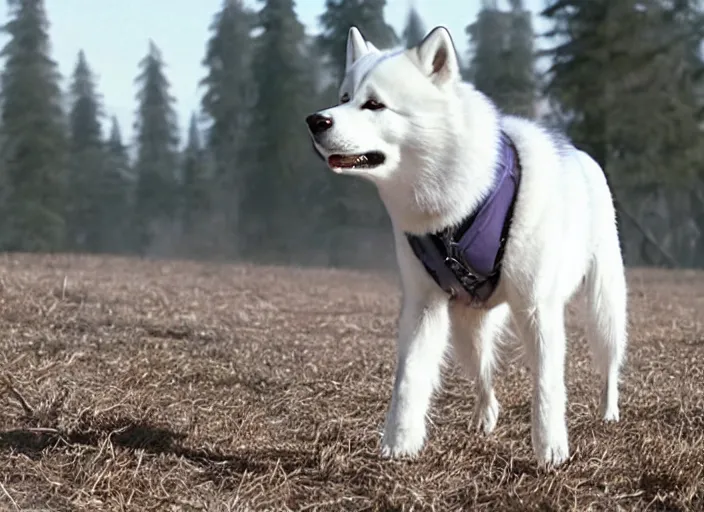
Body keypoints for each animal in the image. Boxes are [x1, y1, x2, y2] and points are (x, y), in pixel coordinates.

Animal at [302, 26, 628, 466]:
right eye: (343, 98)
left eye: (374, 104)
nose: (315, 121)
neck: (457, 204)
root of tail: (580, 155)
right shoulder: (423, 306)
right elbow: (408, 381)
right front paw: (398, 446)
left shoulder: (537, 309)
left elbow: (547, 387)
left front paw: (551, 450)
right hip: (465, 330)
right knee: (485, 378)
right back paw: (483, 418)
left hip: (604, 308)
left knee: (608, 365)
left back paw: (608, 412)